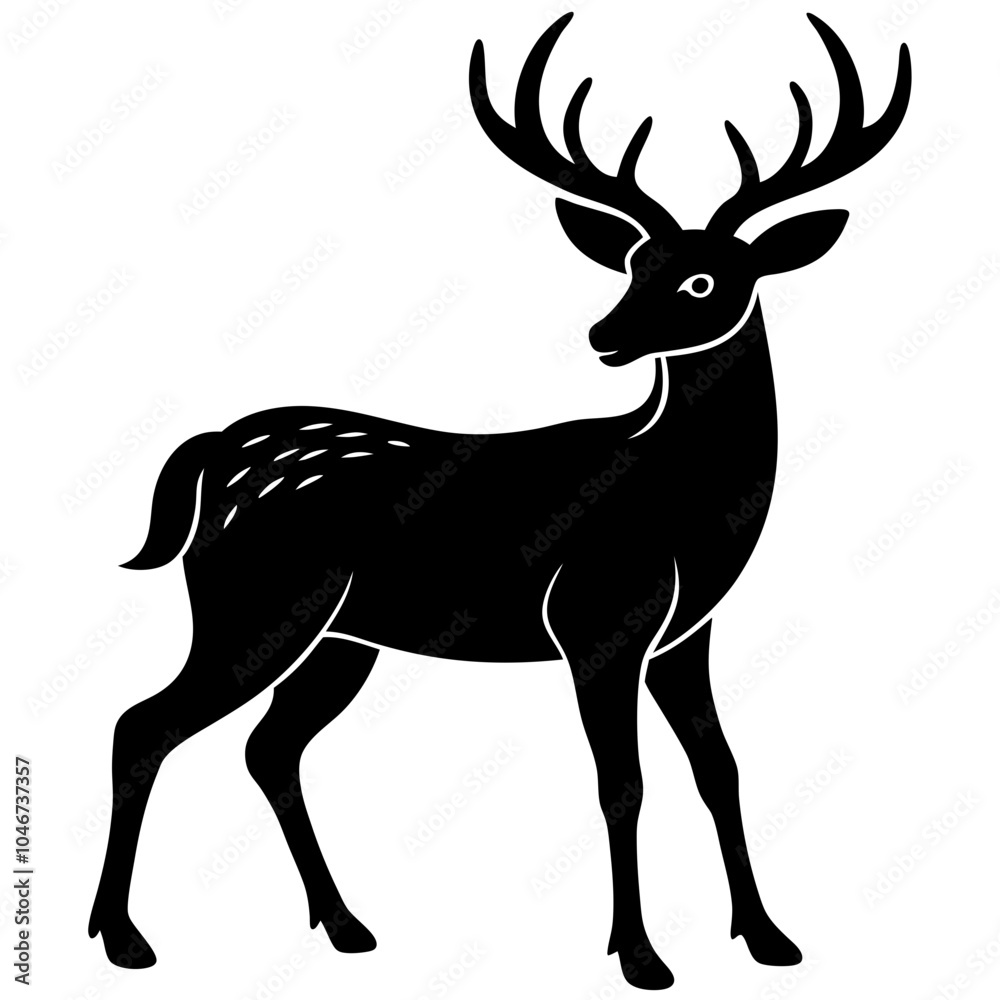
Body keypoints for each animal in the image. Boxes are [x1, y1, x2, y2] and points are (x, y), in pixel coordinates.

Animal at [88, 12, 910, 990]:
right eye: (634, 260)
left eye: (705, 279)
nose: (604, 335)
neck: (686, 499)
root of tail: (212, 454)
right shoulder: (598, 616)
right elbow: (622, 783)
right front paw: (640, 956)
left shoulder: (687, 632)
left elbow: (722, 769)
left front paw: (769, 937)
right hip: (252, 605)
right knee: (143, 724)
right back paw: (123, 938)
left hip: (340, 636)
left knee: (267, 746)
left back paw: (345, 925)